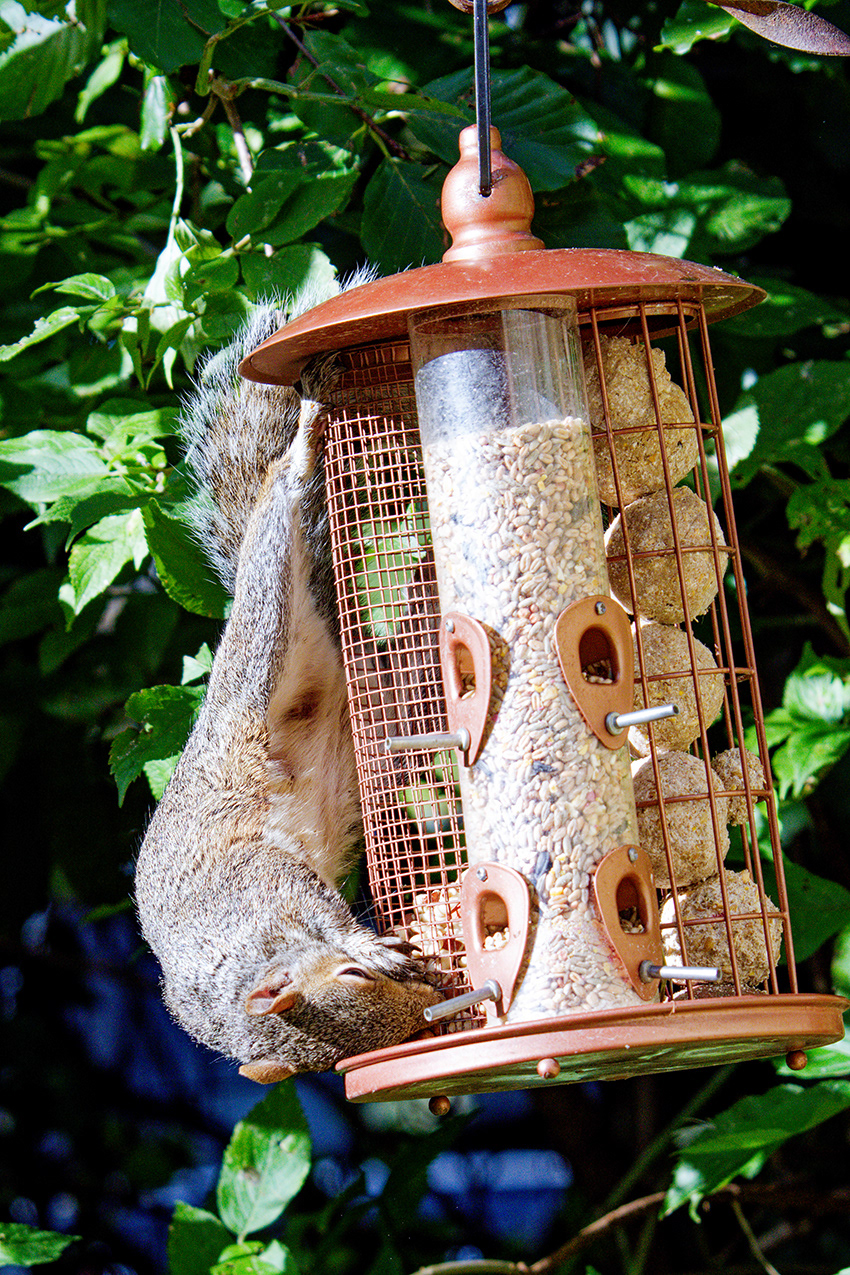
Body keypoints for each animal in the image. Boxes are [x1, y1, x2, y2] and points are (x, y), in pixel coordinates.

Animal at [135, 292, 442, 1084]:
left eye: (356, 977)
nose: (430, 998)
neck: (249, 960)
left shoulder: (258, 880)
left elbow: (317, 901)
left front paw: (362, 937)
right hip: (383, 713)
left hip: (265, 628)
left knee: (282, 491)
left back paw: (305, 435)